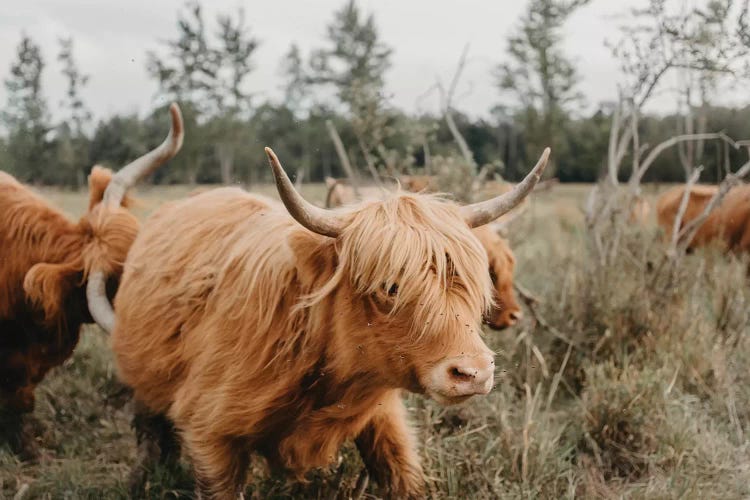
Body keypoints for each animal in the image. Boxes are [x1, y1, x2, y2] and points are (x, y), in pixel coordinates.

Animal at [88, 145, 552, 496]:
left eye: (474, 281)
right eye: (390, 287)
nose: (473, 373)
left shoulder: (383, 416)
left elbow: (404, 474)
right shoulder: (208, 432)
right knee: (151, 433)